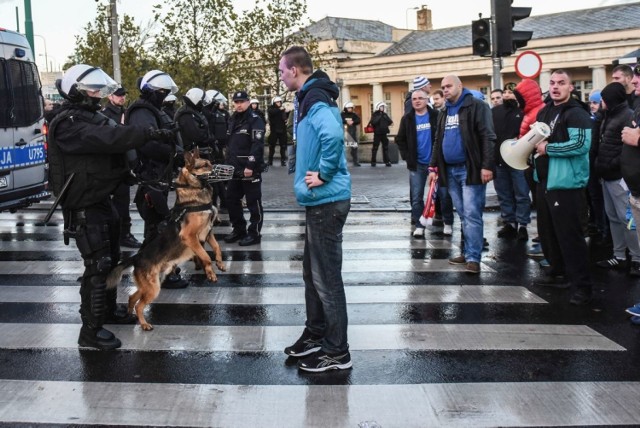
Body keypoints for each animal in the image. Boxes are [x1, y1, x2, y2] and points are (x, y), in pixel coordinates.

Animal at [105, 148, 225, 332]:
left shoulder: (208, 232)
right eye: (205, 165)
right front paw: (210, 272)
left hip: (151, 284)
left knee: (132, 297)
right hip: (153, 288)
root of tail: (136, 257)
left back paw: (130, 316)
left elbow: (217, 247)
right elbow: (205, 256)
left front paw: (220, 263)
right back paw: (144, 324)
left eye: (211, 163)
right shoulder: (190, 237)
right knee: (140, 304)